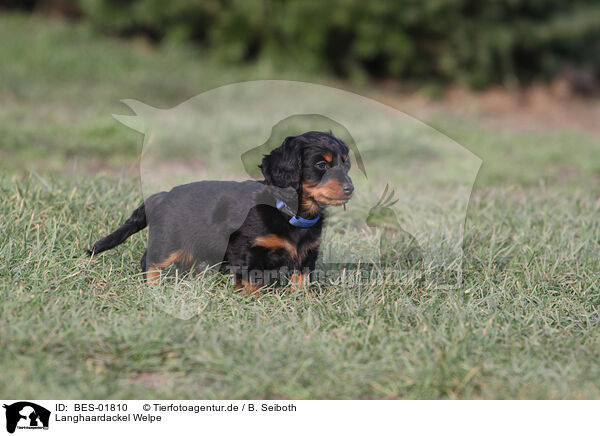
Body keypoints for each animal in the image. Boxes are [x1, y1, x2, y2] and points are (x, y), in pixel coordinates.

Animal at [86, 129, 354, 292]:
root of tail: (162, 196)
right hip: (168, 243)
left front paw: (302, 301)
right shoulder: (247, 249)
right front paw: (253, 303)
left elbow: (301, 281)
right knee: (149, 261)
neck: (289, 212)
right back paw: (152, 287)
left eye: (346, 165)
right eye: (321, 165)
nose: (350, 188)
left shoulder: (306, 255)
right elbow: (252, 282)